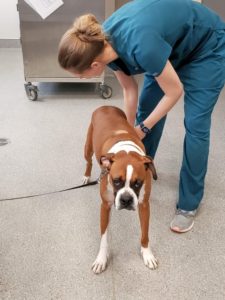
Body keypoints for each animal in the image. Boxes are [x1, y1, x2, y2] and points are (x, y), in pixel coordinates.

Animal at [83, 105, 158, 274]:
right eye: (116, 181)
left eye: (138, 183)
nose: (126, 199)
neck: (127, 151)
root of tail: (106, 106)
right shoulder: (105, 206)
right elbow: (104, 238)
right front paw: (101, 259)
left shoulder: (144, 206)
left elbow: (145, 233)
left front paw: (147, 254)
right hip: (88, 148)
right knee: (89, 161)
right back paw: (86, 176)